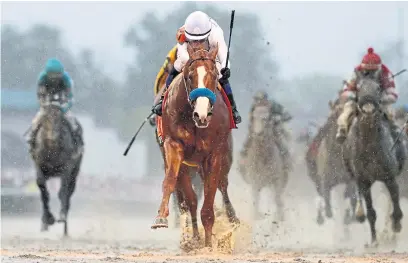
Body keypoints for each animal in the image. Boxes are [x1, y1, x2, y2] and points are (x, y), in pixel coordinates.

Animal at [30, 91, 83, 237]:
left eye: (60, 121)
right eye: (45, 120)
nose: (52, 139)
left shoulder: (67, 167)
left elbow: (62, 191)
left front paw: (61, 216)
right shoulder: (39, 164)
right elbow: (43, 190)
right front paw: (48, 219)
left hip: (75, 171)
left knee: (69, 191)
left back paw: (65, 228)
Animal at [151, 43, 239, 250]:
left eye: (214, 75)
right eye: (189, 76)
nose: (202, 114)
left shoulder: (214, 153)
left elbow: (210, 195)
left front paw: (208, 243)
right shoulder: (174, 147)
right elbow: (174, 184)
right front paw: (161, 218)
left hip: (224, 157)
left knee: (222, 186)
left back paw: (232, 221)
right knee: (189, 198)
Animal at [342, 71, 406, 246]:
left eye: (378, 88)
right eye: (358, 87)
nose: (369, 108)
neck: (370, 144)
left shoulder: (390, 177)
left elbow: (396, 208)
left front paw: (396, 225)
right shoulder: (363, 181)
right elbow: (371, 213)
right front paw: (374, 241)